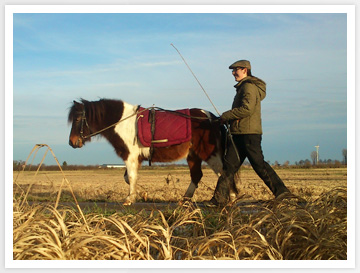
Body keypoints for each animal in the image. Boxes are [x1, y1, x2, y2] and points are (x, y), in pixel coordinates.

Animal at [69, 98, 235, 204]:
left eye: (77, 119)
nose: (72, 142)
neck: (123, 123)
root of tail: (213, 118)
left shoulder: (130, 157)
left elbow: (131, 177)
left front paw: (130, 199)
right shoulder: (136, 158)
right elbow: (129, 178)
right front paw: (142, 194)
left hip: (210, 154)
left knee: (224, 173)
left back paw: (230, 199)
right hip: (193, 156)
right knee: (197, 175)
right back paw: (185, 199)